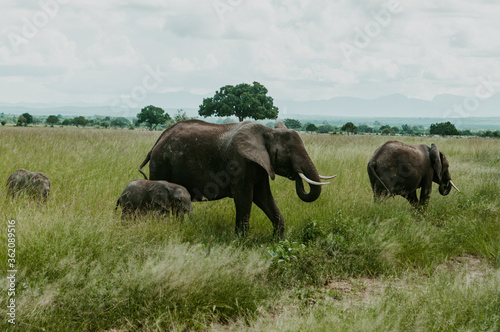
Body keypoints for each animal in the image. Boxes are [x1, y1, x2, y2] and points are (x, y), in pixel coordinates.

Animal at [138, 119, 336, 236]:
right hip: (161, 164)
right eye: (287, 153)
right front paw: (241, 241)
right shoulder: (239, 163)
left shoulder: (260, 165)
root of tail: (156, 142)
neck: (267, 131)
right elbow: (245, 198)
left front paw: (277, 240)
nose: (295, 174)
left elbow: (264, 197)